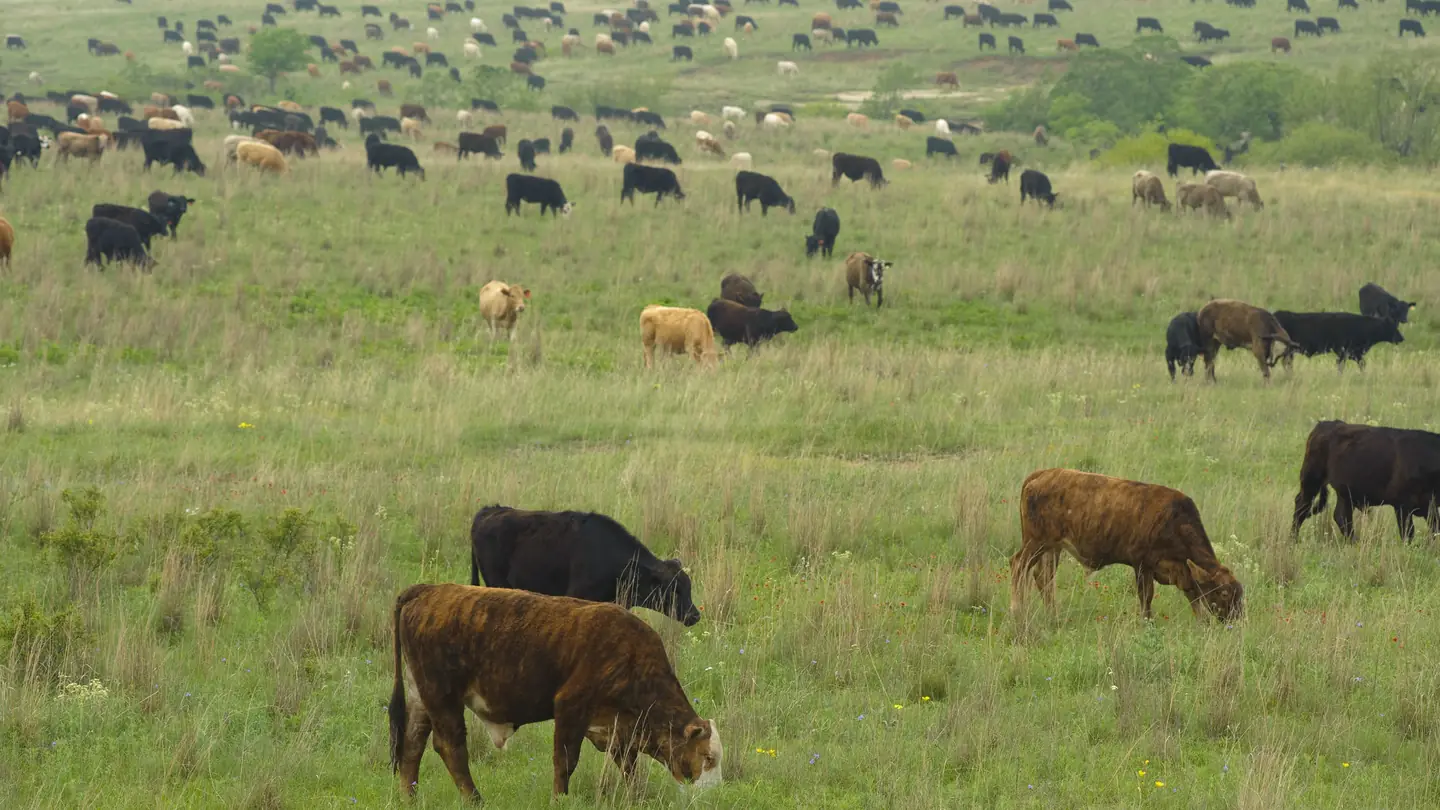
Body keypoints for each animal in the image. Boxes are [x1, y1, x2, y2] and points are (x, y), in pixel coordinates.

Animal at [388, 585, 722, 801]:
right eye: (707, 757)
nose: (712, 794)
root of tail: (429, 591)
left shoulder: (618, 727)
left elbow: (629, 766)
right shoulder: (571, 706)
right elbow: (565, 762)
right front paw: (560, 799)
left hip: (421, 694)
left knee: (413, 744)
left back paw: (409, 797)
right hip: (442, 695)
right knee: (450, 746)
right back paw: (475, 799)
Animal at [1010, 468, 1243, 621]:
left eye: (1239, 592)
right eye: (1224, 593)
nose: (1236, 617)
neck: (1174, 521)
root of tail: (1041, 475)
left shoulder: (1182, 571)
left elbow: (1194, 598)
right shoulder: (1142, 565)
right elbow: (1146, 597)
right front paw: (1147, 622)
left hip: (1052, 548)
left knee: (1043, 577)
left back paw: (1053, 615)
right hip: (1035, 543)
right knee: (1018, 565)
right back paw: (1017, 610)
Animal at [1292, 421, 1440, 541]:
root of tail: (1325, 424)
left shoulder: (1430, 506)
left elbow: (1435, 530)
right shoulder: (1402, 505)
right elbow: (1408, 533)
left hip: (1345, 492)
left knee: (1342, 516)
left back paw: (1353, 542)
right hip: (1311, 478)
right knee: (1301, 506)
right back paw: (1293, 539)